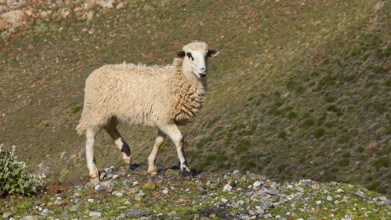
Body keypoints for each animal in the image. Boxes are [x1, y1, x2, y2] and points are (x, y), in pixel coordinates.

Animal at [75, 41, 219, 182]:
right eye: (190, 55)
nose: (202, 71)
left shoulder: (164, 120)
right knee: (90, 138)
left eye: (207, 54)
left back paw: (126, 153)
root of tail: (94, 74)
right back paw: (93, 171)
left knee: (109, 126)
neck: (177, 80)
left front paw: (151, 167)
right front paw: (186, 170)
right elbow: (179, 140)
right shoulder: (165, 119)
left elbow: (159, 142)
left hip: (109, 112)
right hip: (96, 111)